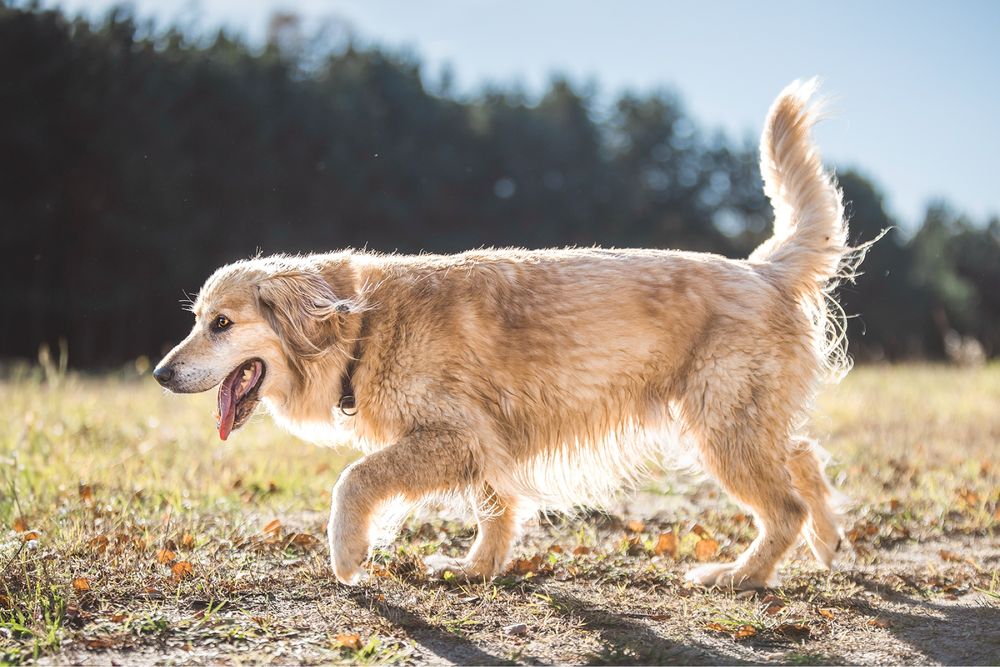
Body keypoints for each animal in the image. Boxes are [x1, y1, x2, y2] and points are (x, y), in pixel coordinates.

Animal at [152, 81, 864, 592]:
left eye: (220, 323)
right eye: (196, 318)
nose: (160, 374)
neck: (363, 328)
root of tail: (762, 267)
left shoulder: (456, 435)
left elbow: (355, 478)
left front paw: (348, 551)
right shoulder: (487, 442)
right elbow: (495, 509)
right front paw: (476, 569)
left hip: (721, 425)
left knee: (785, 505)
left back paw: (740, 575)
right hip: (732, 420)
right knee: (803, 455)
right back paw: (829, 541)